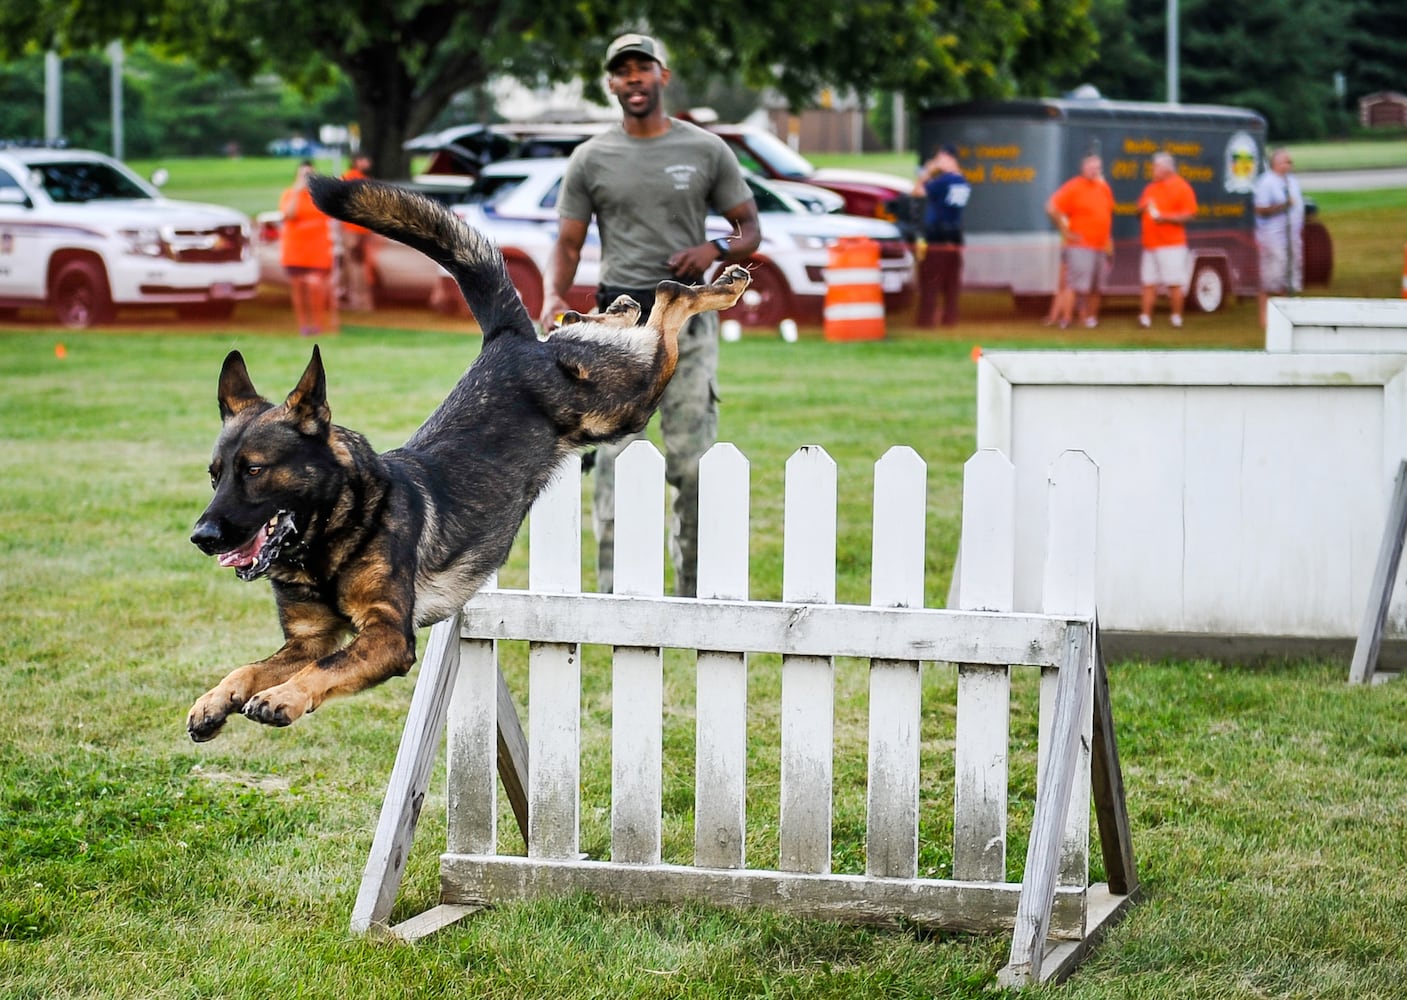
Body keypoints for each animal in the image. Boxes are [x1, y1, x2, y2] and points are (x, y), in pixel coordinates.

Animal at [195, 177, 759, 742]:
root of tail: (508, 341)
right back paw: (607, 309)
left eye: (254, 470)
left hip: (623, 407)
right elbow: (251, 668)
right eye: (215, 476)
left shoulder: (387, 636)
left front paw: (283, 696)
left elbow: (326, 667)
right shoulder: (307, 639)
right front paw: (214, 701)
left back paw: (722, 286)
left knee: (667, 301)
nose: (201, 537)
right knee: (601, 320)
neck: (333, 534)